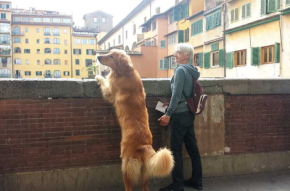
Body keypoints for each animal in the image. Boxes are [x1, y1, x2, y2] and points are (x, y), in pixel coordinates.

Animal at [95, 49, 173, 191]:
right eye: (108, 52)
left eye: (111, 56)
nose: (98, 57)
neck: (126, 73)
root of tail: (144, 146)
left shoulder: (110, 91)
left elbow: (104, 82)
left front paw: (98, 77)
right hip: (144, 170)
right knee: (145, 186)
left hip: (126, 165)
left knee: (129, 185)